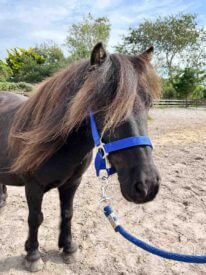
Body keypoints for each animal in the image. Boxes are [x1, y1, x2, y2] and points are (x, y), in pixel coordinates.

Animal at [0, 43, 161, 272]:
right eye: (104, 104)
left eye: (148, 103)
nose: (147, 184)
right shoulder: (33, 187)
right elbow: (35, 218)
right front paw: (32, 255)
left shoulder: (72, 183)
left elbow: (67, 213)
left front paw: (68, 248)